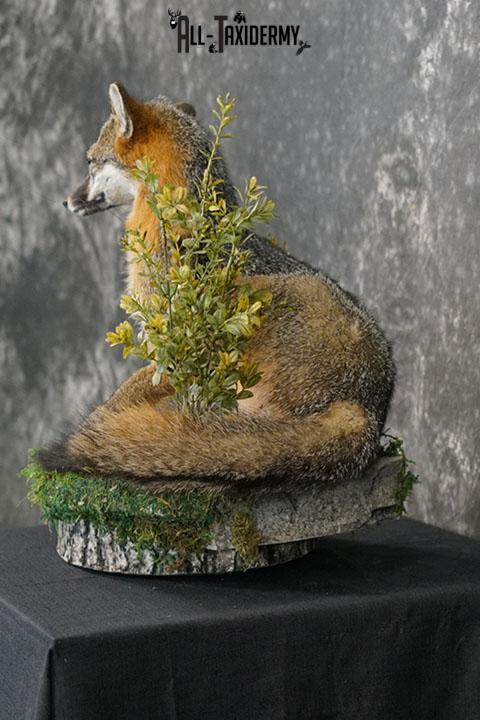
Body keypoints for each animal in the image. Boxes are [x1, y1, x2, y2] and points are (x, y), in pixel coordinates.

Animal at [39, 82, 395, 493]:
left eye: (90, 162)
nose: (66, 201)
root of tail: (367, 409)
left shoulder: (174, 347)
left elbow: (116, 399)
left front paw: (97, 423)